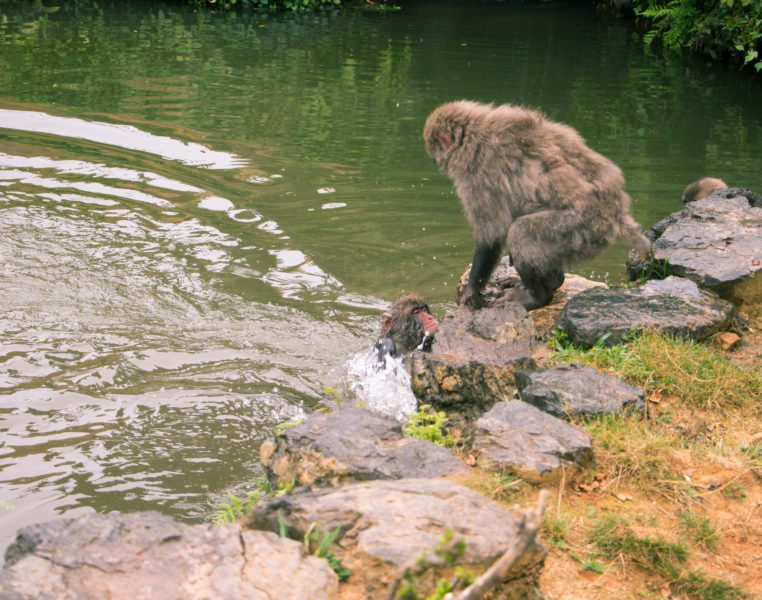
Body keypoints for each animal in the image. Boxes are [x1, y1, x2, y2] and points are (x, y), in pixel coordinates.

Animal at [422, 99, 648, 310]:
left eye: (435, 155)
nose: (436, 163)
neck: (474, 132)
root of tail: (616, 213)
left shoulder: (478, 173)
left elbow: (491, 235)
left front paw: (470, 290)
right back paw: (551, 282)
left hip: (583, 229)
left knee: (522, 233)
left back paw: (538, 296)